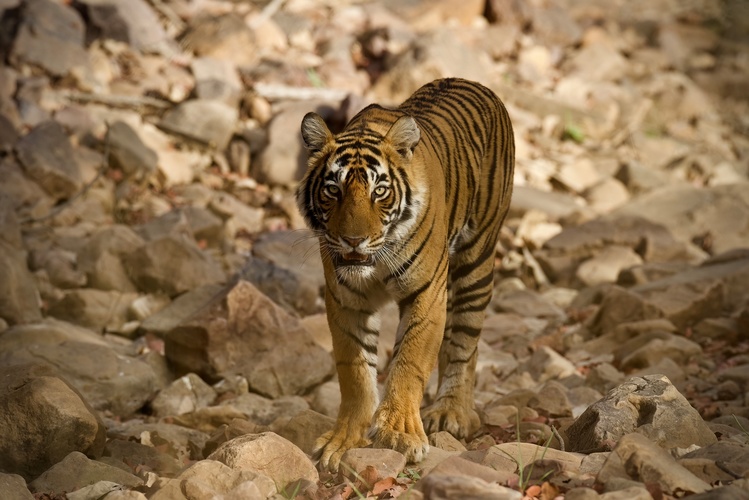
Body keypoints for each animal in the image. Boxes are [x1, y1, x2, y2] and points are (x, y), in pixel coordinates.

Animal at [296, 76, 516, 470]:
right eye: (333, 190)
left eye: (379, 191)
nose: (353, 240)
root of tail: (471, 81)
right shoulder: (345, 300)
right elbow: (354, 371)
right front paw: (344, 440)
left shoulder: (427, 293)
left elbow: (409, 361)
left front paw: (399, 432)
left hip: (477, 261)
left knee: (465, 341)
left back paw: (451, 412)